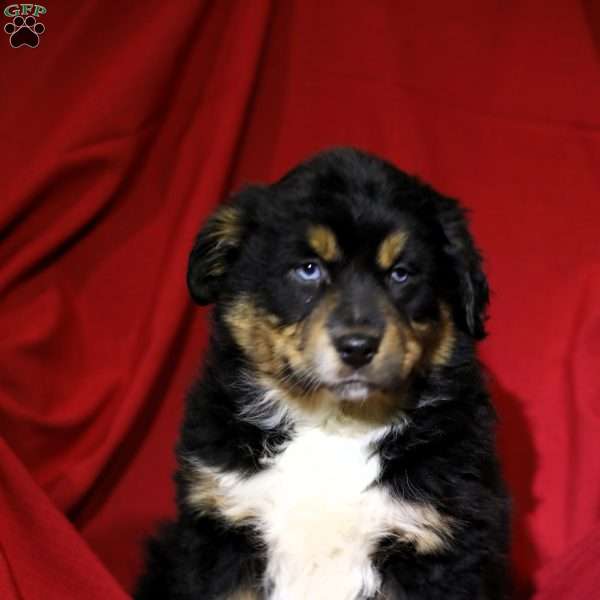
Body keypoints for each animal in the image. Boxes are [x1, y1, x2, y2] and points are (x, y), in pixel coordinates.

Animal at [136, 149, 510, 600]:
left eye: (401, 273)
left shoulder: (438, 544)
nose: (358, 346)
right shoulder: (221, 531)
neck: (333, 423)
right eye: (308, 269)